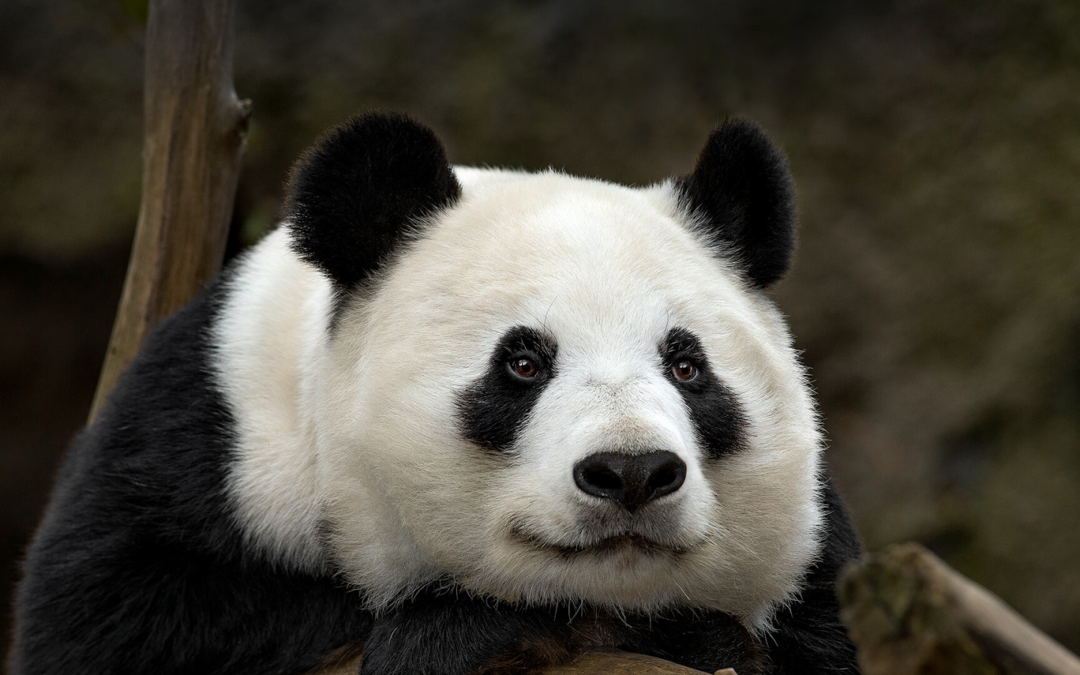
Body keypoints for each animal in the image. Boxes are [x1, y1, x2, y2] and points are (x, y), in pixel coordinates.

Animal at [11, 112, 862, 675]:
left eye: (687, 366)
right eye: (523, 363)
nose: (631, 472)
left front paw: (700, 636)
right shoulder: (210, 429)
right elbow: (103, 618)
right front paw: (458, 630)